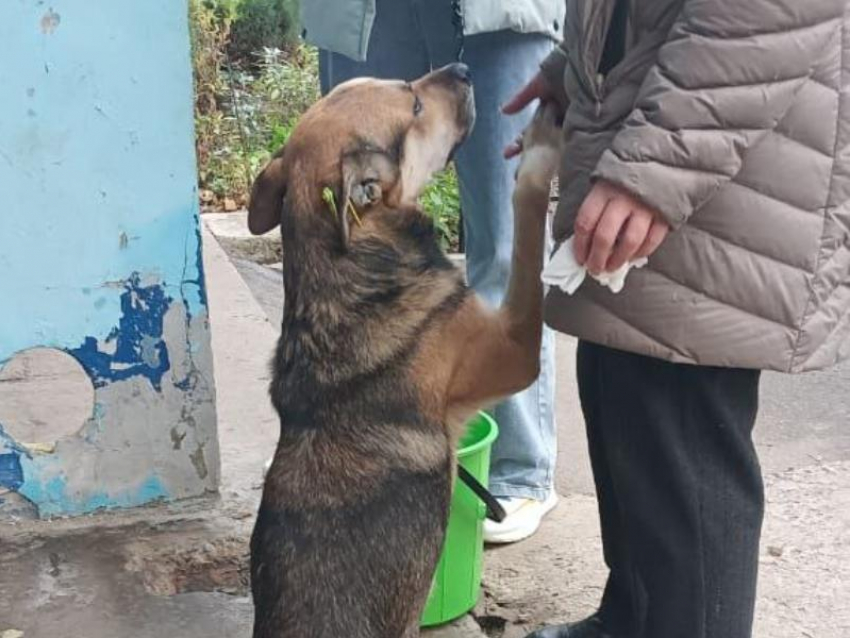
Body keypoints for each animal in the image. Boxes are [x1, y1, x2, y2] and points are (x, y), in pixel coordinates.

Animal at [248, 63, 560, 638]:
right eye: (414, 107)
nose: (463, 68)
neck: (348, 275)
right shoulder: (514, 351)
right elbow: (526, 226)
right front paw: (541, 149)